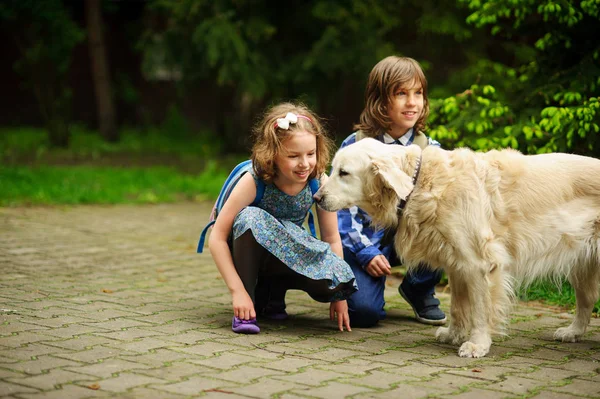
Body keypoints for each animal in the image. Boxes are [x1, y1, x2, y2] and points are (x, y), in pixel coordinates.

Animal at [314, 138, 600, 360]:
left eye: (344, 173)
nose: (316, 198)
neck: (420, 184)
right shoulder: (457, 262)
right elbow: (458, 306)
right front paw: (454, 334)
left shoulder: (479, 263)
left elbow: (480, 309)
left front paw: (477, 344)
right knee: (586, 301)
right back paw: (572, 332)